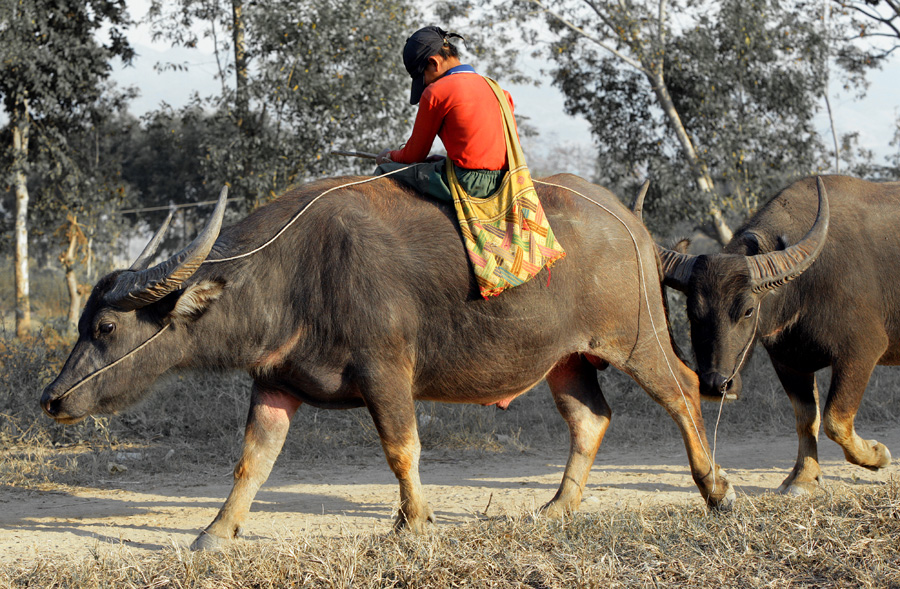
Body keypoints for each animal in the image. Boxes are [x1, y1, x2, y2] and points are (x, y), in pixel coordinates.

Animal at [38, 172, 736, 548]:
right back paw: (557, 508)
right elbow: (251, 463)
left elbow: (402, 450)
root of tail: (630, 224)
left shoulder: (386, 374)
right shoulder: (274, 384)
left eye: (105, 326)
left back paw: (718, 490)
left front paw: (415, 523)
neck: (294, 277)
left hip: (638, 340)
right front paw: (215, 532)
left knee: (684, 393)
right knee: (590, 419)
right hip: (565, 358)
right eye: (84, 322)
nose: (53, 398)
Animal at [652, 176, 900, 496]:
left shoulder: (861, 352)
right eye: (692, 312)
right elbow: (807, 418)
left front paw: (878, 455)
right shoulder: (788, 362)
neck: (805, 286)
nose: (715, 384)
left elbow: (835, 420)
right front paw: (804, 477)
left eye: (747, 310)